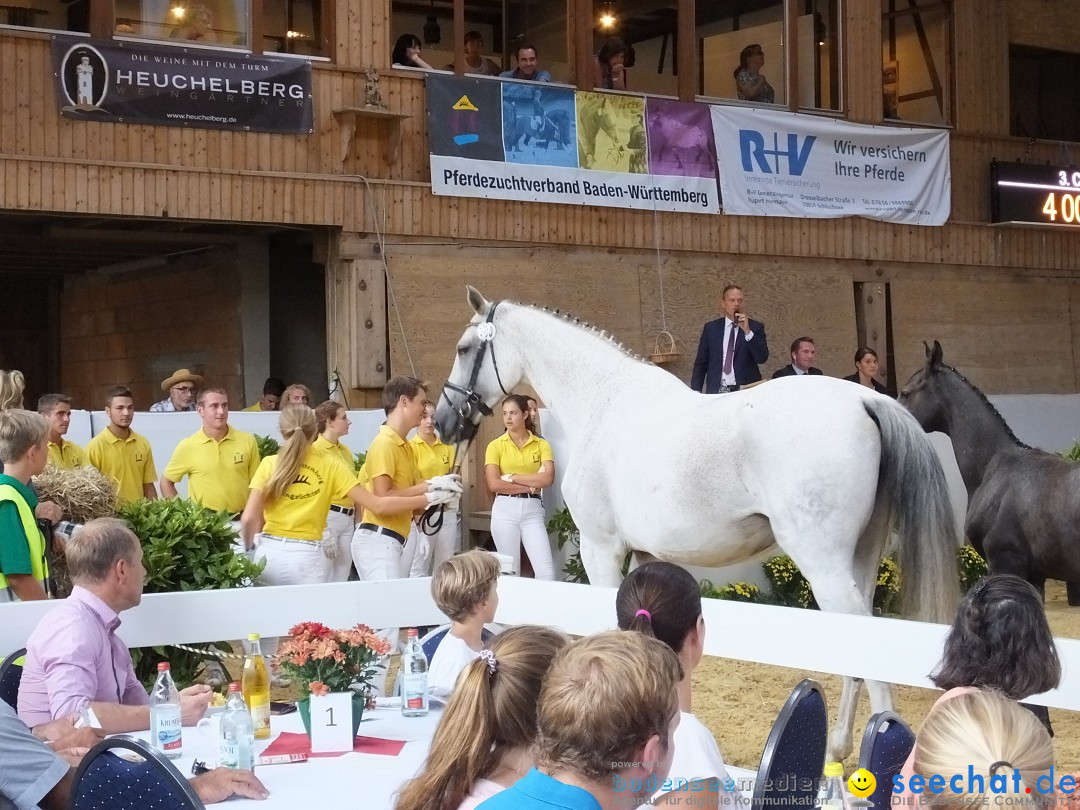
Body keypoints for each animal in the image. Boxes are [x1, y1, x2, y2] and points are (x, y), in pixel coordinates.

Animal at [434, 287, 959, 760]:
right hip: (861, 559)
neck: (604, 404)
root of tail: (866, 402)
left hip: (823, 563)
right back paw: (838, 747)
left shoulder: (601, 550)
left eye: (464, 349)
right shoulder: (646, 557)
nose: (442, 422)